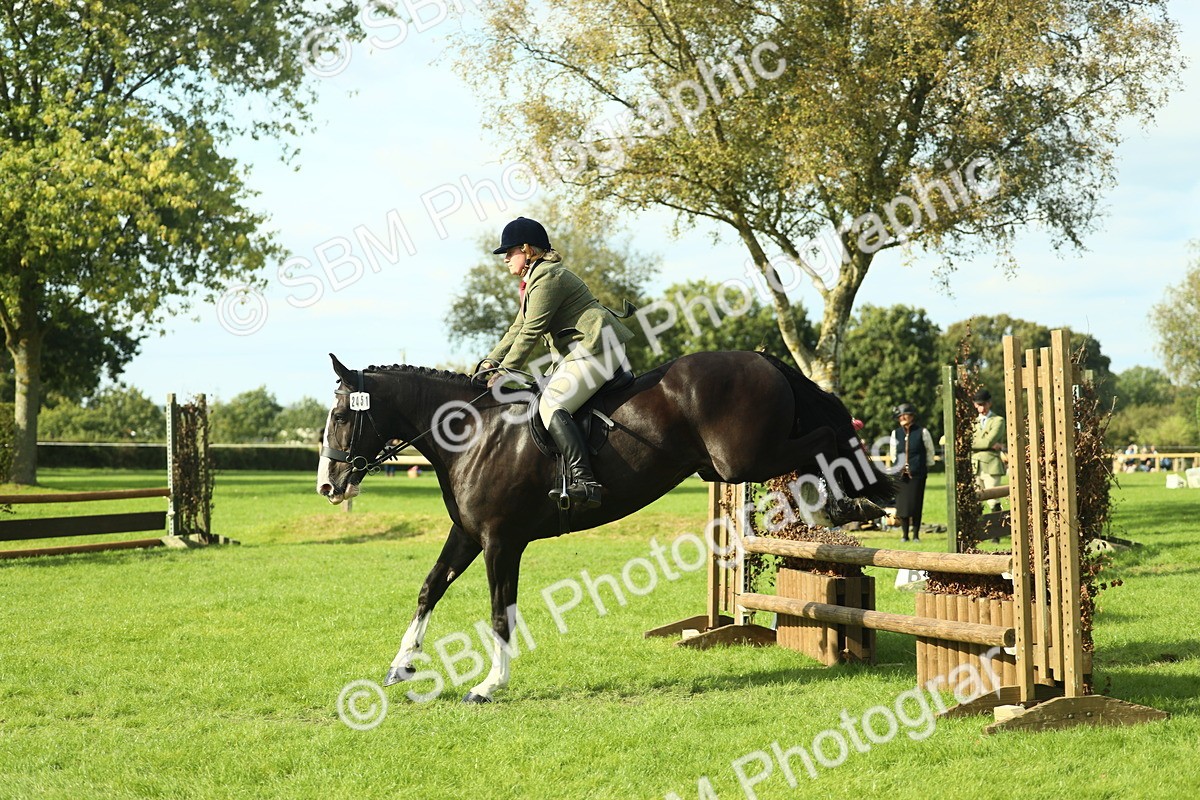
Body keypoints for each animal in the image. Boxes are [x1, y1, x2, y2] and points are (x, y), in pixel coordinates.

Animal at [316, 350, 894, 702]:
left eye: (342, 417)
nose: (329, 486)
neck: (474, 435)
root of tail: (761, 359)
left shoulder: (502, 542)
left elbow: (500, 613)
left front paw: (488, 685)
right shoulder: (468, 535)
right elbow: (429, 588)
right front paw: (401, 666)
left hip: (741, 462)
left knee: (826, 435)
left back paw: (839, 506)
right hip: (727, 466)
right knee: (820, 438)